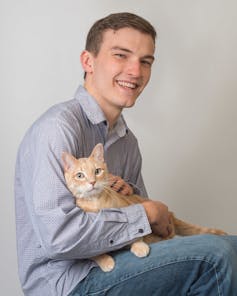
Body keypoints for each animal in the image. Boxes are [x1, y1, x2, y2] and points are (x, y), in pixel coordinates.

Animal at [62, 144, 227, 272]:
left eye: (97, 171)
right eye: (80, 175)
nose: (92, 182)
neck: (96, 202)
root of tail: (171, 214)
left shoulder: (129, 209)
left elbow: (135, 230)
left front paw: (139, 246)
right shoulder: (82, 238)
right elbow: (92, 251)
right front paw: (105, 260)